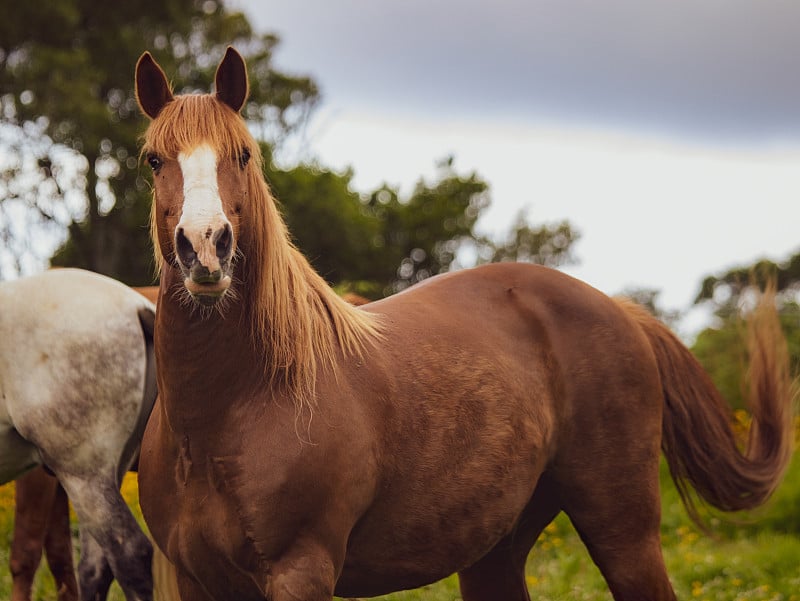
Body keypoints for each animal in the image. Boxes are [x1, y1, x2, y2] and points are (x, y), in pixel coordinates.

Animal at [0, 274, 158, 600]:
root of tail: (137, 306)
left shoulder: (38, 476)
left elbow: (26, 555)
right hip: (102, 476)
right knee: (95, 566)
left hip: (82, 474)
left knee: (130, 554)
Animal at [136, 48, 792, 600]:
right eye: (154, 160)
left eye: (243, 155)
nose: (205, 247)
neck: (240, 405)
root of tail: (618, 310)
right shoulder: (199, 582)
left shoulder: (301, 572)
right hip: (495, 548)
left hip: (624, 533)